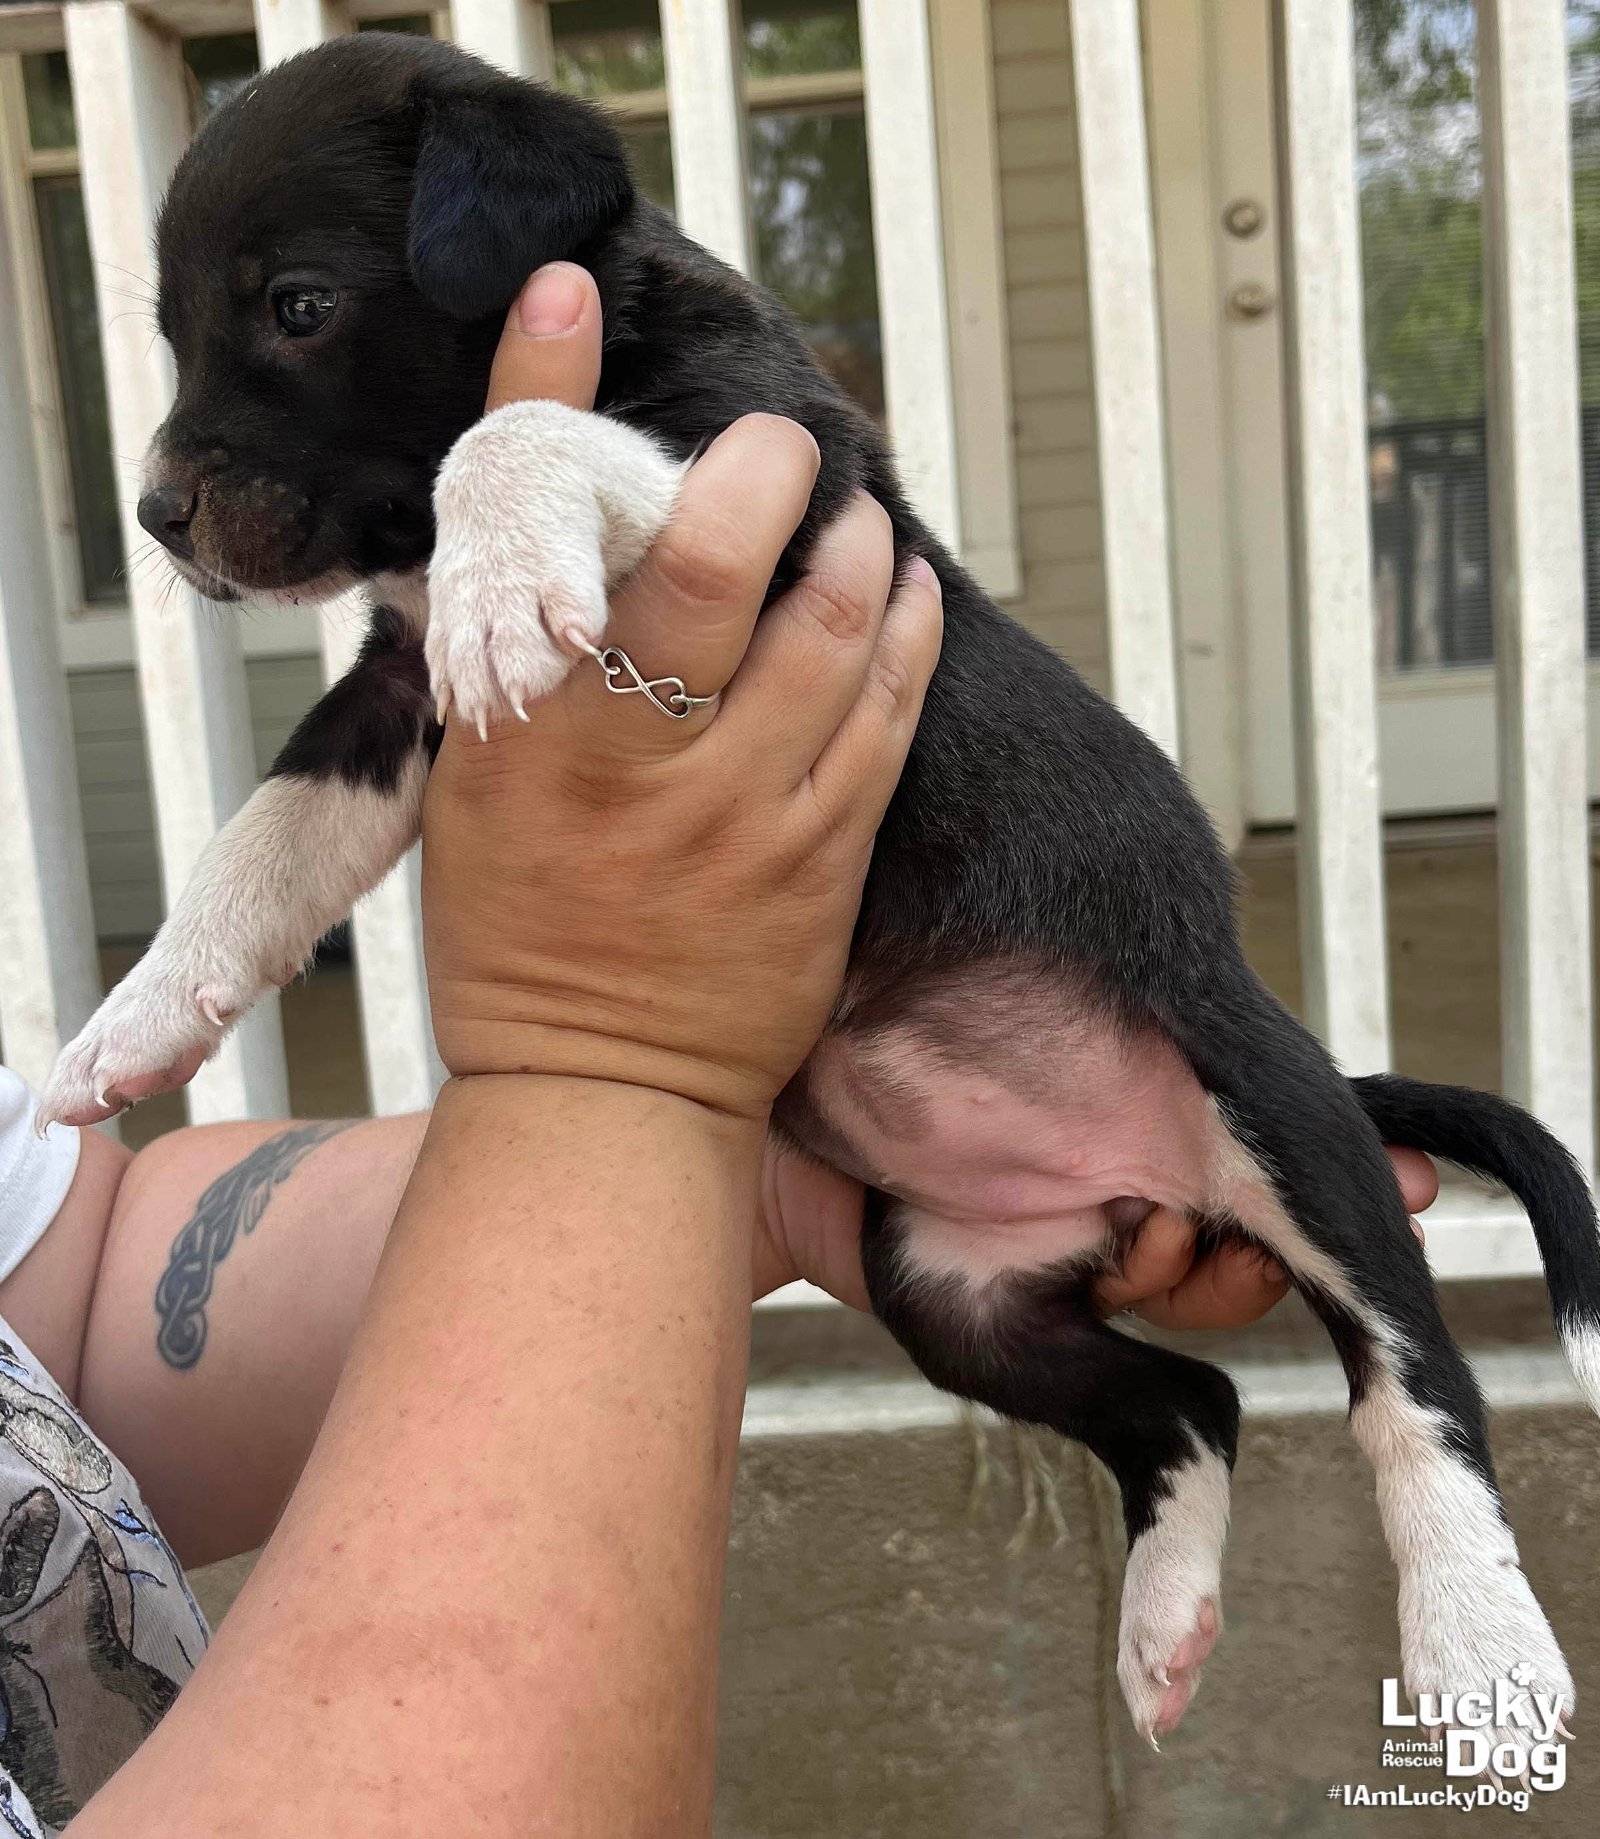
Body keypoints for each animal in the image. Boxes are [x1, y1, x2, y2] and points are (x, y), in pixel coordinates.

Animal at [40, 32, 1600, 1755]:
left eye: (298, 304)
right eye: (174, 331)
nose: (156, 518)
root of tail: (1143, 1172)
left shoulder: (781, 491)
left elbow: (509, 439)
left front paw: (500, 564)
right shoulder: (391, 709)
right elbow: (259, 839)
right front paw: (134, 1023)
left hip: (1289, 1130)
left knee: (1416, 1385)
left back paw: (1480, 1637)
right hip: (947, 1289)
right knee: (1190, 1397)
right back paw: (1160, 1620)